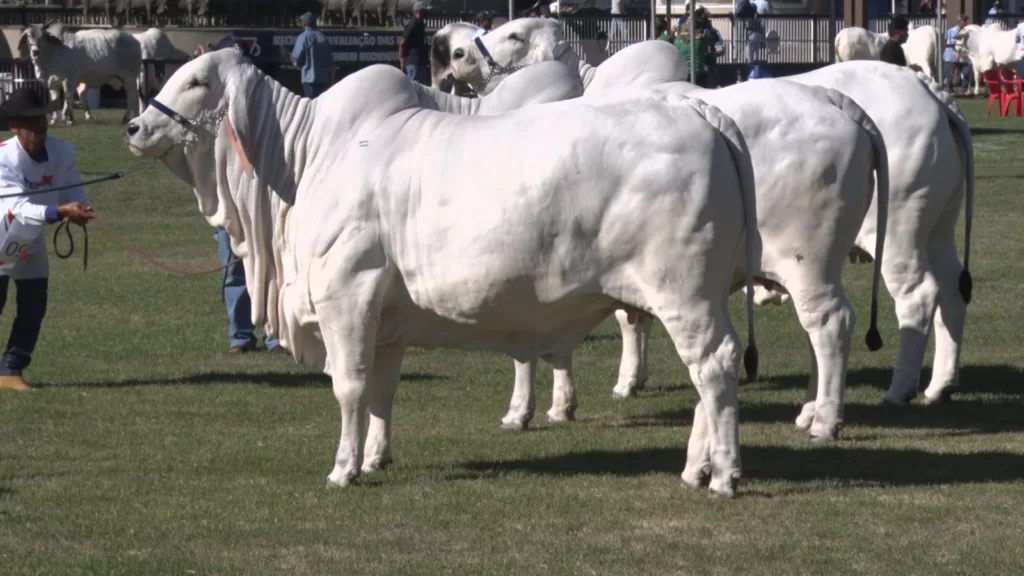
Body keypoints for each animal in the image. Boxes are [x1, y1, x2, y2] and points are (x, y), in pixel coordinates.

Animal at [121, 51, 761, 496]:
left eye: (197, 81)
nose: (133, 127)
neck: (307, 159)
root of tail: (699, 108)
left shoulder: (346, 296)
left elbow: (349, 386)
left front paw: (343, 468)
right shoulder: (384, 317)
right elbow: (382, 389)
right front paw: (375, 456)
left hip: (685, 294)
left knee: (714, 366)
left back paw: (723, 475)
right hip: (704, 295)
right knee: (710, 372)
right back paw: (697, 467)